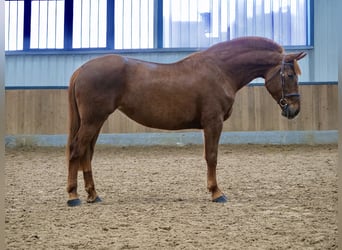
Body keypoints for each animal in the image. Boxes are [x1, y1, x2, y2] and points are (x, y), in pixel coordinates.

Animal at [65, 36, 306, 206]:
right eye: (290, 75)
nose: (294, 110)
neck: (220, 71)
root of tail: (82, 69)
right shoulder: (213, 123)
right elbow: (211, 157)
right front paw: (216, 192)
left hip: (96, 120)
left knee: (87, 153)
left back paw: (93, 195)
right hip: (93, 120)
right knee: (77, 150)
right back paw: (73, 196)